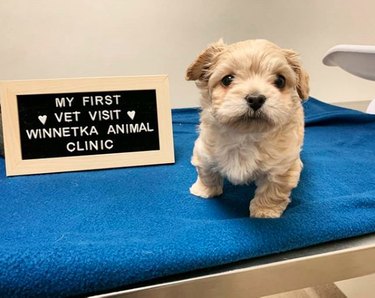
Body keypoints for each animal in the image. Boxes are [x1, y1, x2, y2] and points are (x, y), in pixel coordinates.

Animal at [186, 39, 312, 218]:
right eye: (227, 79)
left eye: (280, 81)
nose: (255, 98)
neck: (245, 136)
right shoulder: (203, 151)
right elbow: (207, 173)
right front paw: (203, 191)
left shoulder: (283, 168)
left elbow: (272, 191)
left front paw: (264, 211)